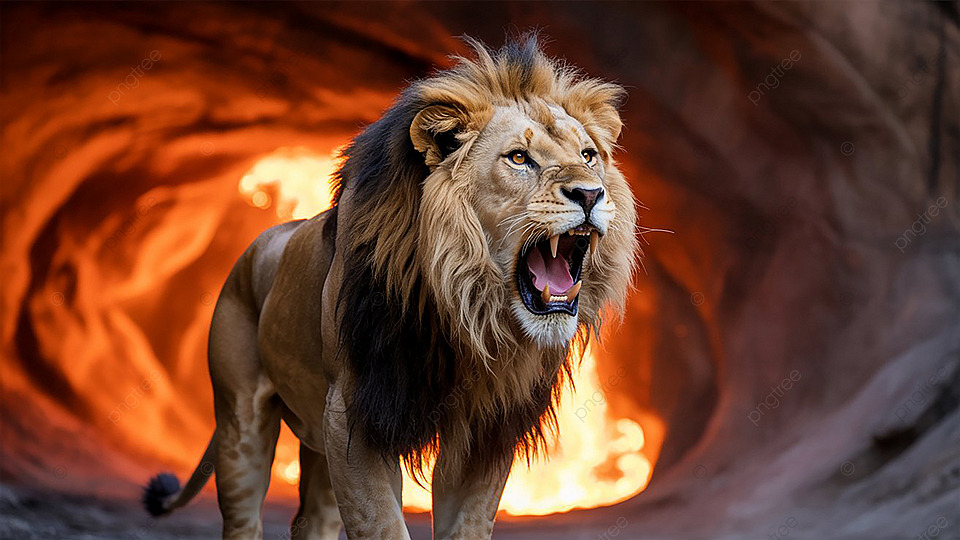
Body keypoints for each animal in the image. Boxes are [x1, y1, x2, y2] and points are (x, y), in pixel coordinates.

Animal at [142, 36, 638, 540]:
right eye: (519, 158)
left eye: (588, 156)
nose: (590, 193)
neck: (463, 309)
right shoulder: (355, 416)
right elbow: (381, 524)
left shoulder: (483, 434)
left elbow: (465, 524)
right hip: (240, 423)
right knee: (244, 514)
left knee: (312, 522)